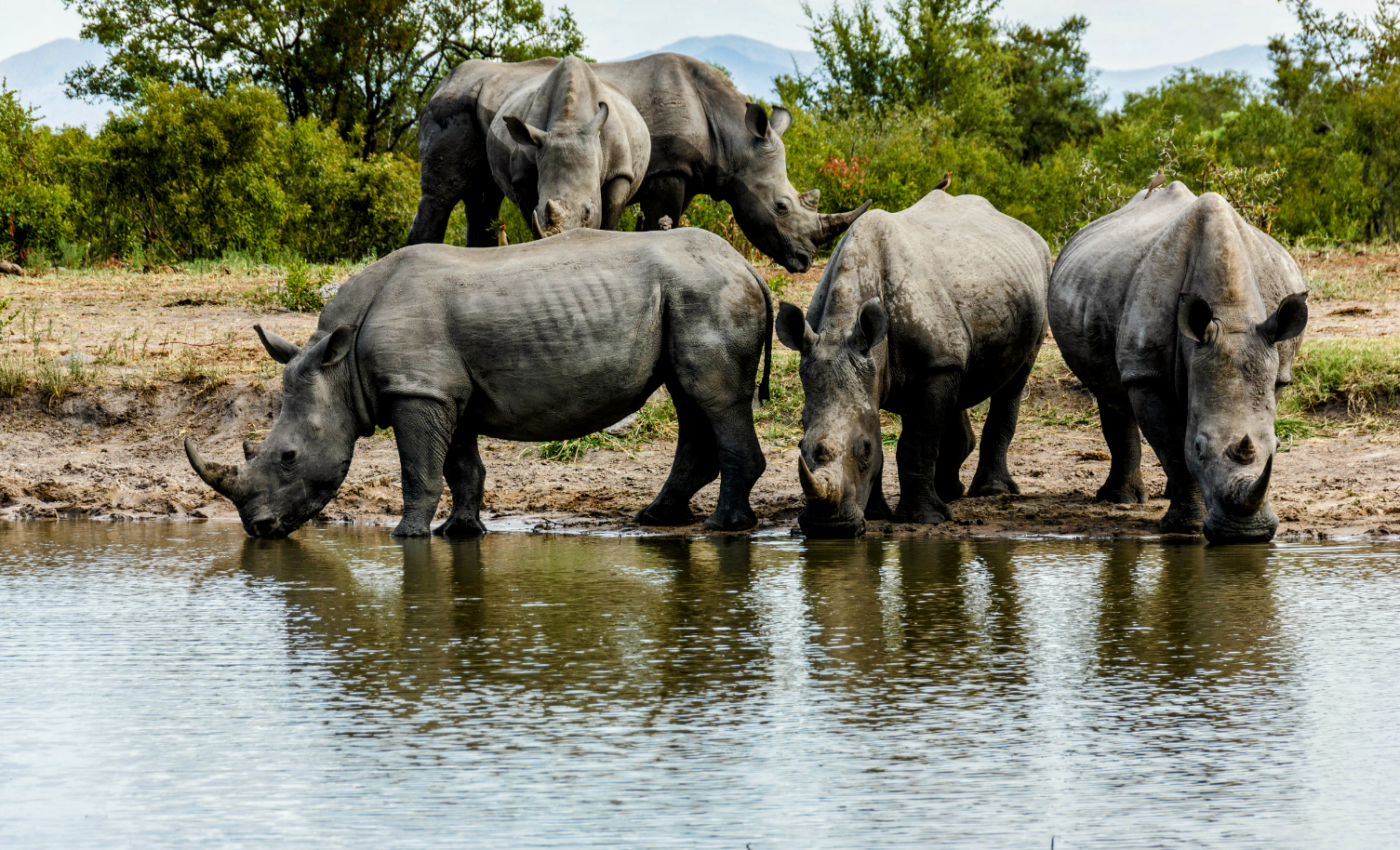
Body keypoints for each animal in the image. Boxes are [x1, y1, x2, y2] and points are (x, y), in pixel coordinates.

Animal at [185, 229, 773, 539]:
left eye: (288, 457)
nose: (257, 528)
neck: (340, 366)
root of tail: (746, 265)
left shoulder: (416, 390)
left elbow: (419, 469)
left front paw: (408, 536)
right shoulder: (444, 392)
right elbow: (462, 466)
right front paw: (461, 532)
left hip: (707, 293)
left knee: (713, 398)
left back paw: (724, 527)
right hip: (691, 295)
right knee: (689, 397)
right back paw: (657, 516)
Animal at [486, 56, 651, 238]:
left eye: (587, 213)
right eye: (539, 209)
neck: (568, 124)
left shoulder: (619, 171)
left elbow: (609, 217)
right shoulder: (523, 177)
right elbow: (531, 216)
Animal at [775, 190, 1050, 538]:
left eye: (864, 448)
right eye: (800, 444)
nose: (828, 529)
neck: (841, 330)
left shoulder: (934, 366)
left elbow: (915, 443)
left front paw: (925, 519)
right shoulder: (876, 370)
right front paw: (875, 514)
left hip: (1040, 277)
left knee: (1014, 381)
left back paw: (991, 492)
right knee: (957, 386)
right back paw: (949, 493)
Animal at [1048, 184, 1308, 543]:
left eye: (1279, 446)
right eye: (1200, 448)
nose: (1246, 534)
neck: (1232, 313)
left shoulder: (1274, 367)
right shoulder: (1147, 374)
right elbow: (1173, 446)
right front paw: (1187, 528)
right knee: (1109, 391)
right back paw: (1121, 500)